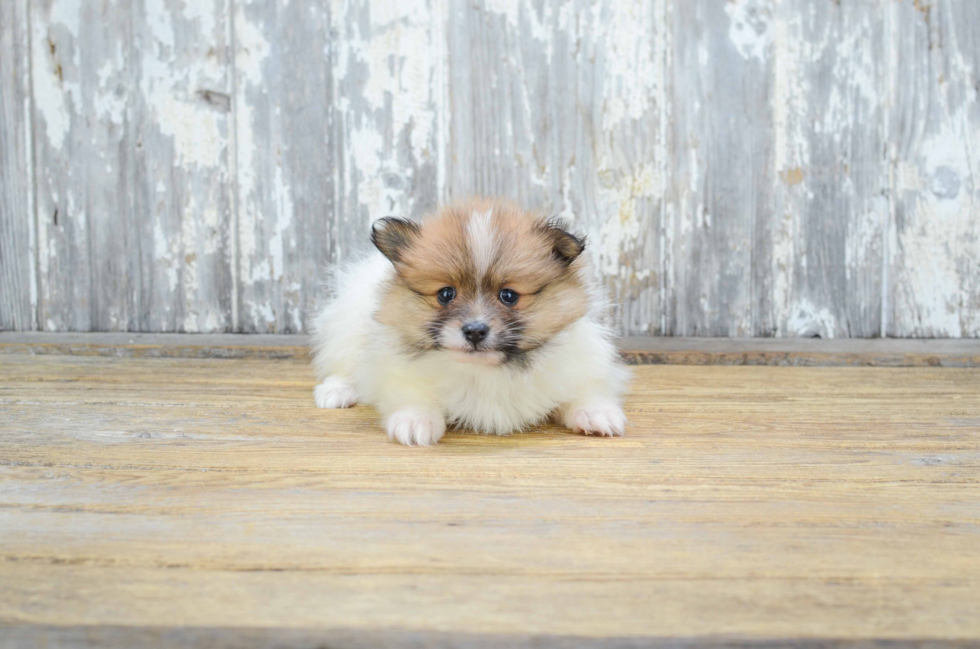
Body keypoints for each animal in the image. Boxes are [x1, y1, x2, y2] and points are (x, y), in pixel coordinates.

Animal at [316, 197, 636, 446]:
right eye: (446, 294)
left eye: (508, 295)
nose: (474, 331)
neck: (484, 372)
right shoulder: (394, 370)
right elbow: (410, 392)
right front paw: (415, 421)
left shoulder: (578, 365)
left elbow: (586, 390)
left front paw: (597, 413)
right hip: (346, 325)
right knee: (344, 364)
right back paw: (336, 391)